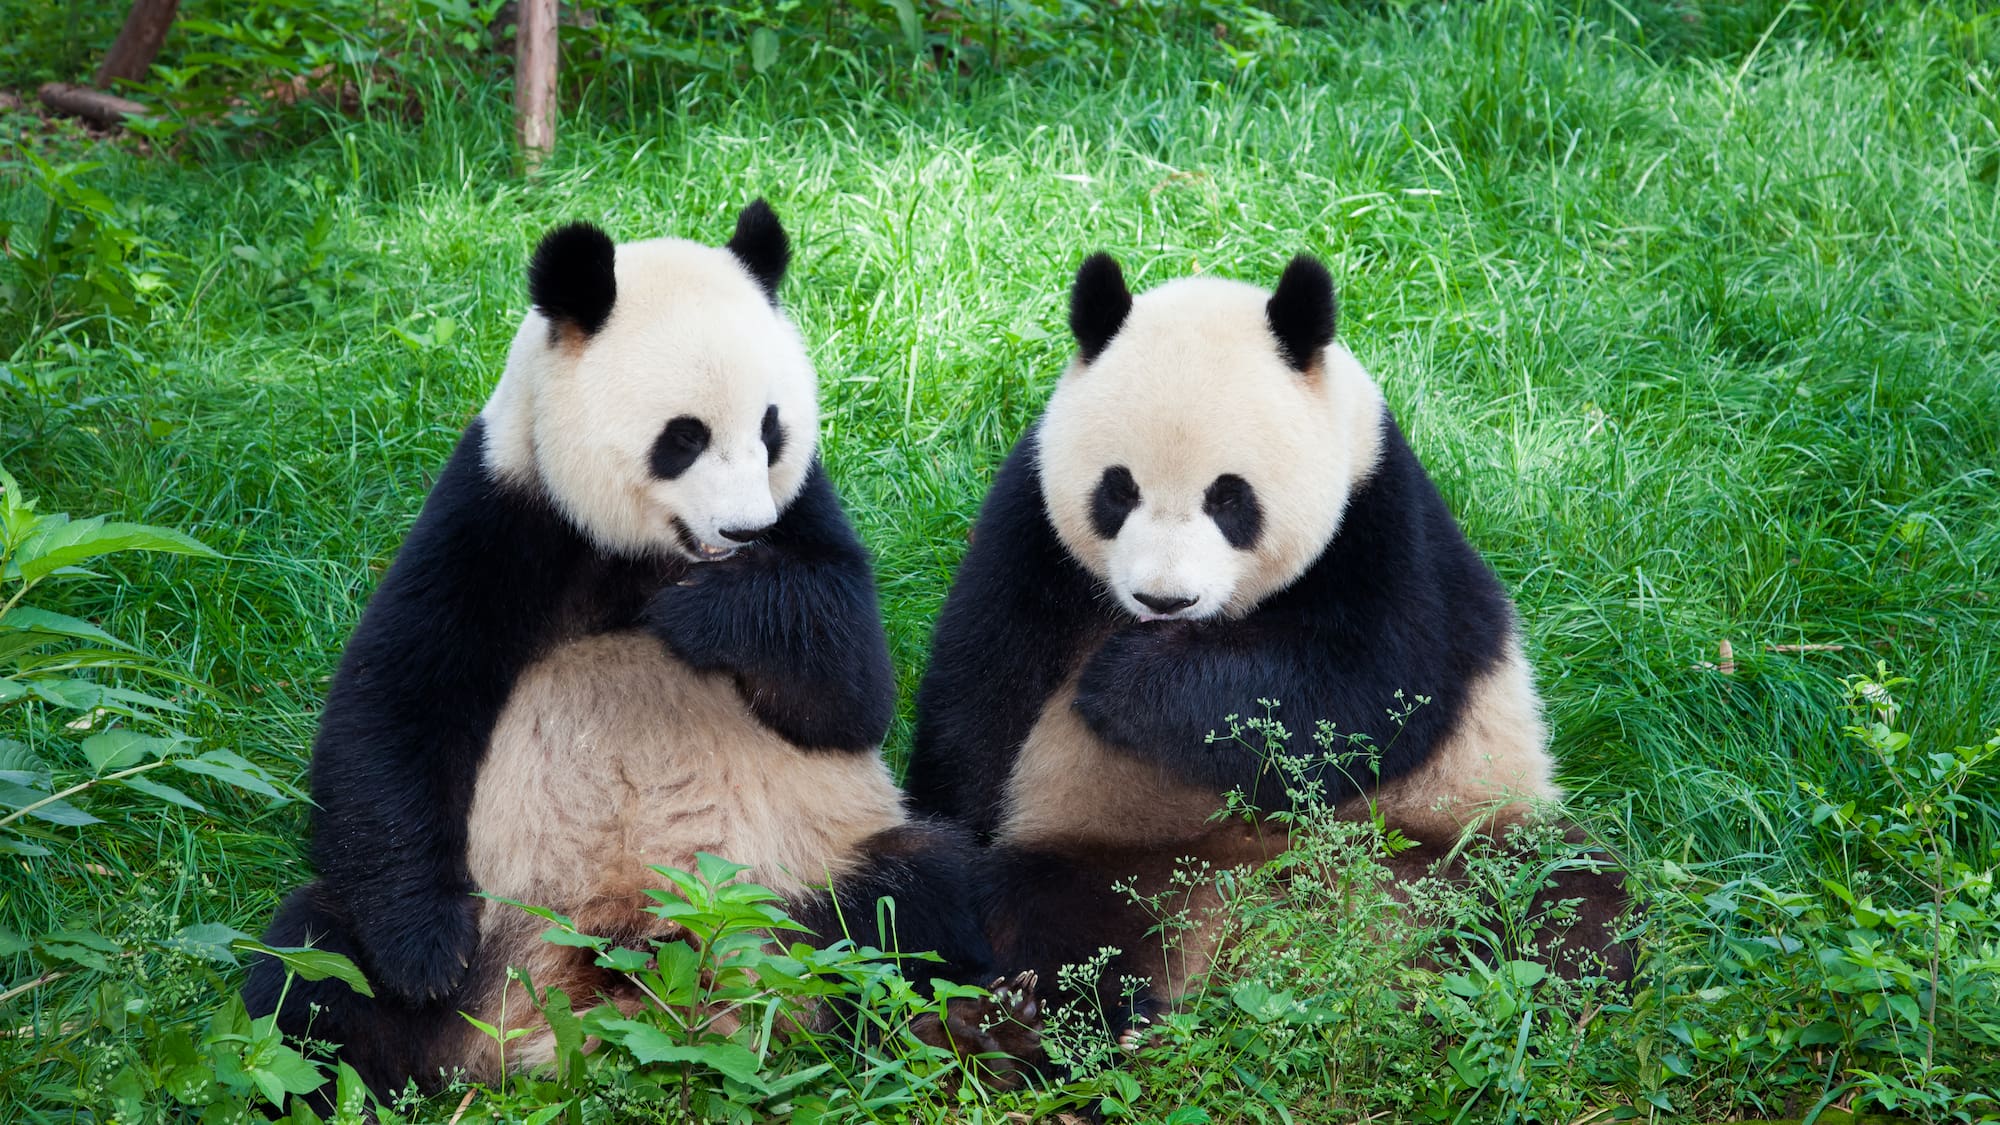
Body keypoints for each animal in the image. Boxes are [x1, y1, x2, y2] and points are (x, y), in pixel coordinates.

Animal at [243, 201, 1031, 1101]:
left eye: (771, 429)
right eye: (683, 437)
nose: (745, 531)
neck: (648, 552)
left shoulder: (803, 509)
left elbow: (852, 689)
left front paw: (710, 614)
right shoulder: (501, 509)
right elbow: (395, 703)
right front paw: (424, 953)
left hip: (797, 890)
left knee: (914, 900)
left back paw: (964, 1028)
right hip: (497, 925)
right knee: (312, 963)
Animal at [905, 251, 1631, 1036]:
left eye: (1230, 497)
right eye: (1118, 491)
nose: (1164, 600)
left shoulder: (1381, 519)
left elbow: (1363, 696)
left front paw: (1124, 682)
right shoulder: (1030, 524)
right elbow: (980, 694)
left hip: (1454, 826)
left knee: (1565, 900)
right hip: (1106, 846)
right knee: (1049, 917)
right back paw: (1014, 1014)